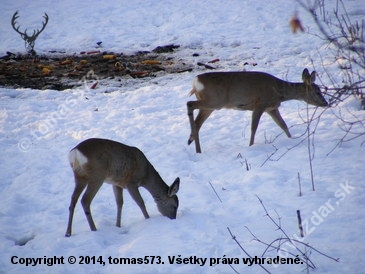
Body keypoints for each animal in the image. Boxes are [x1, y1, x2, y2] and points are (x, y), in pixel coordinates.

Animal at [188, 67, 328, 153]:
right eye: (317, 91)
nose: (326, 103)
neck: (278, 92)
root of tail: (195, 81)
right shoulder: (260, 105)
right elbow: (254, 128)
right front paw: (251, 146)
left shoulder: (271, 108)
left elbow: (283, 125)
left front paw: (292, 140)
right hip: (214, 101)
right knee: (189, 104)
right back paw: (195, 146)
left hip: (210, 106)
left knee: (197, 122)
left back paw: (192, 142)